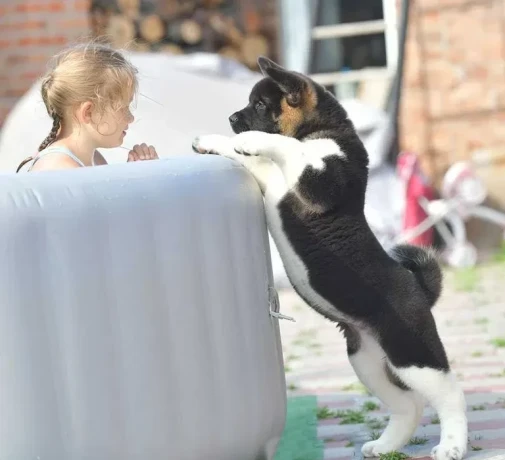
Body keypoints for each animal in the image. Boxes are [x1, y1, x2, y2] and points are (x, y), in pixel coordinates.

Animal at [191, 57, 466, 460]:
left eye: (260, 105)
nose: (231, 118)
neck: (321, 130)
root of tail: (419, 289)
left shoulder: (320, 180)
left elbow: (283, 146)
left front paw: (247, 139)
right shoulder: (271, 178)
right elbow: (262, 159)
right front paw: (211, 141)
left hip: (412, 352)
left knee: (450, 395)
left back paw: (452, 445)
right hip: (367, 360)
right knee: (409, 405)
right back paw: (385, 445)